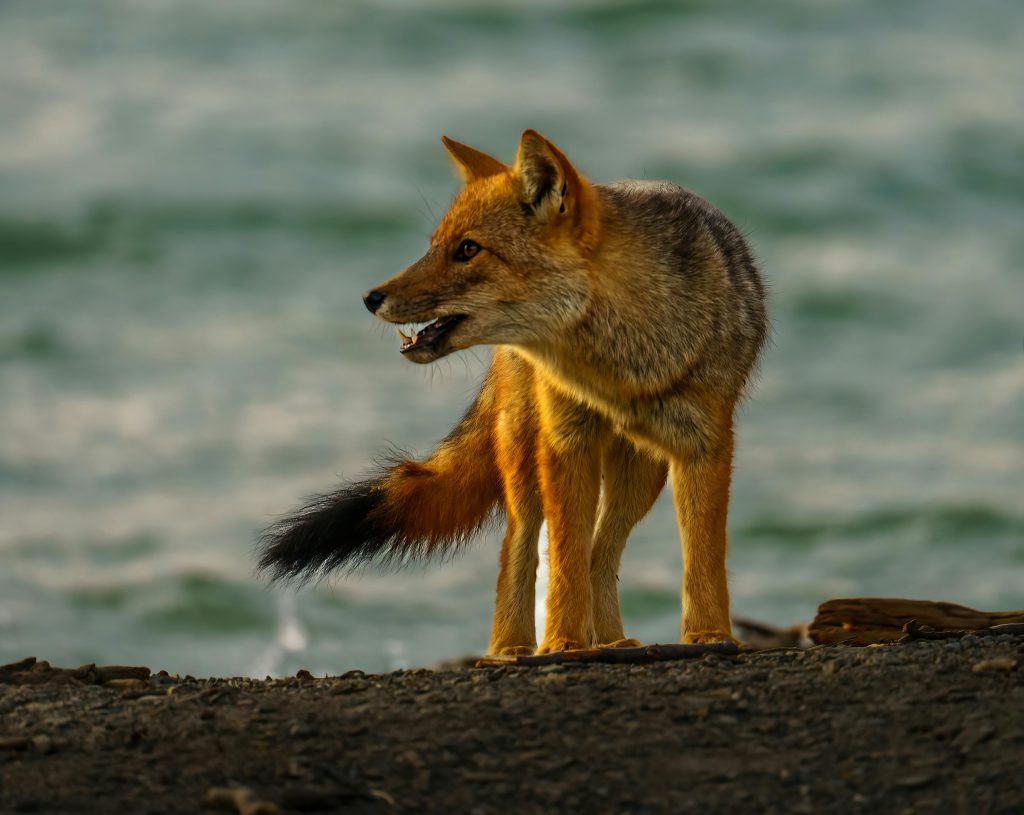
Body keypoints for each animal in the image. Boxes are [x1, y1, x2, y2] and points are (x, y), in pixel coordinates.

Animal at [258, 132, 770, 655]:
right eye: (435, 247)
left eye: (468, 249)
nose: (370, 298)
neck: (622, 371)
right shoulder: (566, 442)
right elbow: (563, 561)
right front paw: (563, 641)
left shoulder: (705, 445)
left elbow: (702, 557)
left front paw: (709, 635)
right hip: (528, 457)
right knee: (521, 547)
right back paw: (510, 647)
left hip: (639, 476)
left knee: (603, 552)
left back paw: (611, 641)